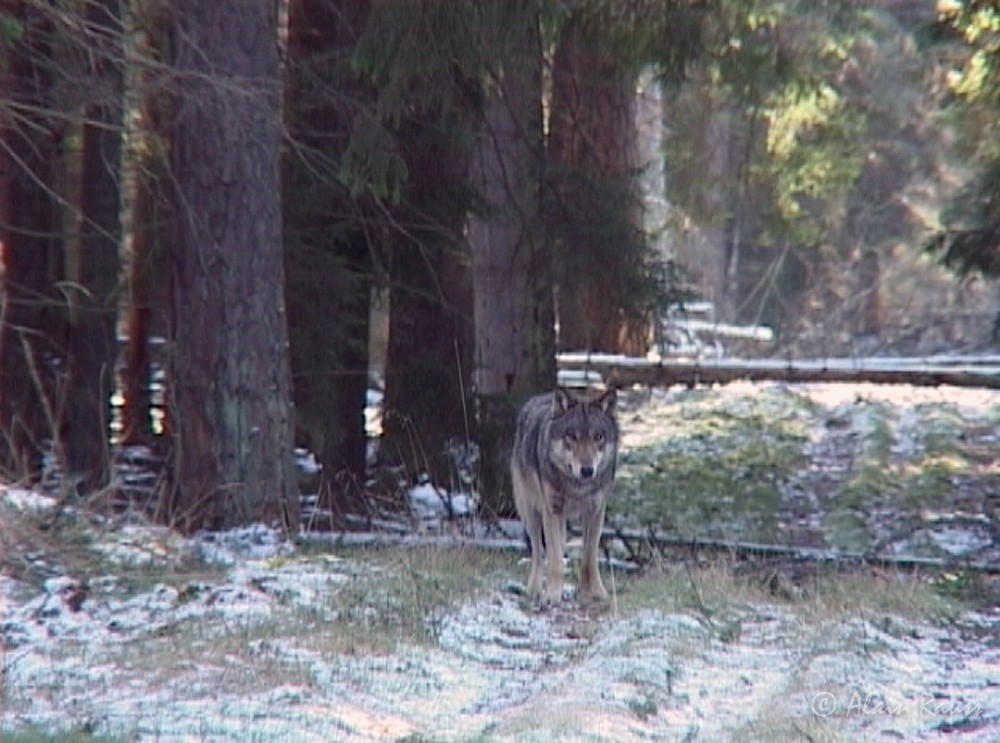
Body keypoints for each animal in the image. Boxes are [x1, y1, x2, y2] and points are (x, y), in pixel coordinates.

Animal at [510, 386, 619, 605]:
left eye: (598, 436)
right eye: (572, 436)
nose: (587, 471)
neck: (577, 487)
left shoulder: (595, 513)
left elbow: (589, 560)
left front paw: (593, 593)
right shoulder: (551, 511)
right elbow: (554, 561)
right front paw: (552, 596)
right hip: (531, 515)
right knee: (538, 553)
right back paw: (534, 590)